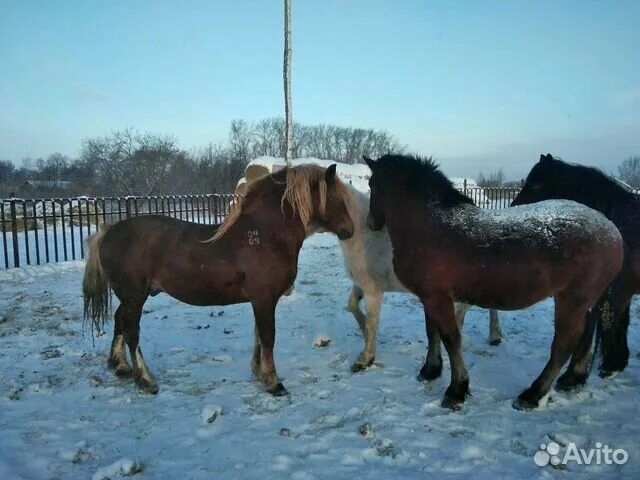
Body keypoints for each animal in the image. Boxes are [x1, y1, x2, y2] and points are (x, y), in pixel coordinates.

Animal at [82, 163, 356, 396]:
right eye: (337, 198)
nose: (350, 230)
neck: (264, 235)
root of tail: (109, 231)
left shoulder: (261, 301)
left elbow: (259, 335)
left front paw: (259, 373)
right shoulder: (264, 299)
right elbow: (268, 336)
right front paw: (273, 381)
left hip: (133, 296)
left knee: (120, 320)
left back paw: (120, 366)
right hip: (134, 296)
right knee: (132, 332)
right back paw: (146, 380)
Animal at [338, 182, 502, 374]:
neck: (364, 234)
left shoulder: (373, 288)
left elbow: (371, 322)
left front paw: (365, 359)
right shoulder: (360, 284)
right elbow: (352, 305)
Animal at [364, 154, 624, 408]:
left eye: (372, 184)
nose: (371, 223)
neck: (430, 226)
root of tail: (613, 231)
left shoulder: (438, 298)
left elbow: (451, 339)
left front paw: (457, 390)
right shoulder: (430, 297)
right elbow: (432, 332)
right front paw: (431, 370)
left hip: (572, 302)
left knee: (563, 344)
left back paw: (532, 395)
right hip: (584, 303)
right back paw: (572, 379)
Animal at [512, 152, 640, 376]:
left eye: (535, 186)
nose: (513, 208)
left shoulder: (617, 292)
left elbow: (608, 324)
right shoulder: (617, 292)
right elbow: (618, 323)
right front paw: (615, 363)